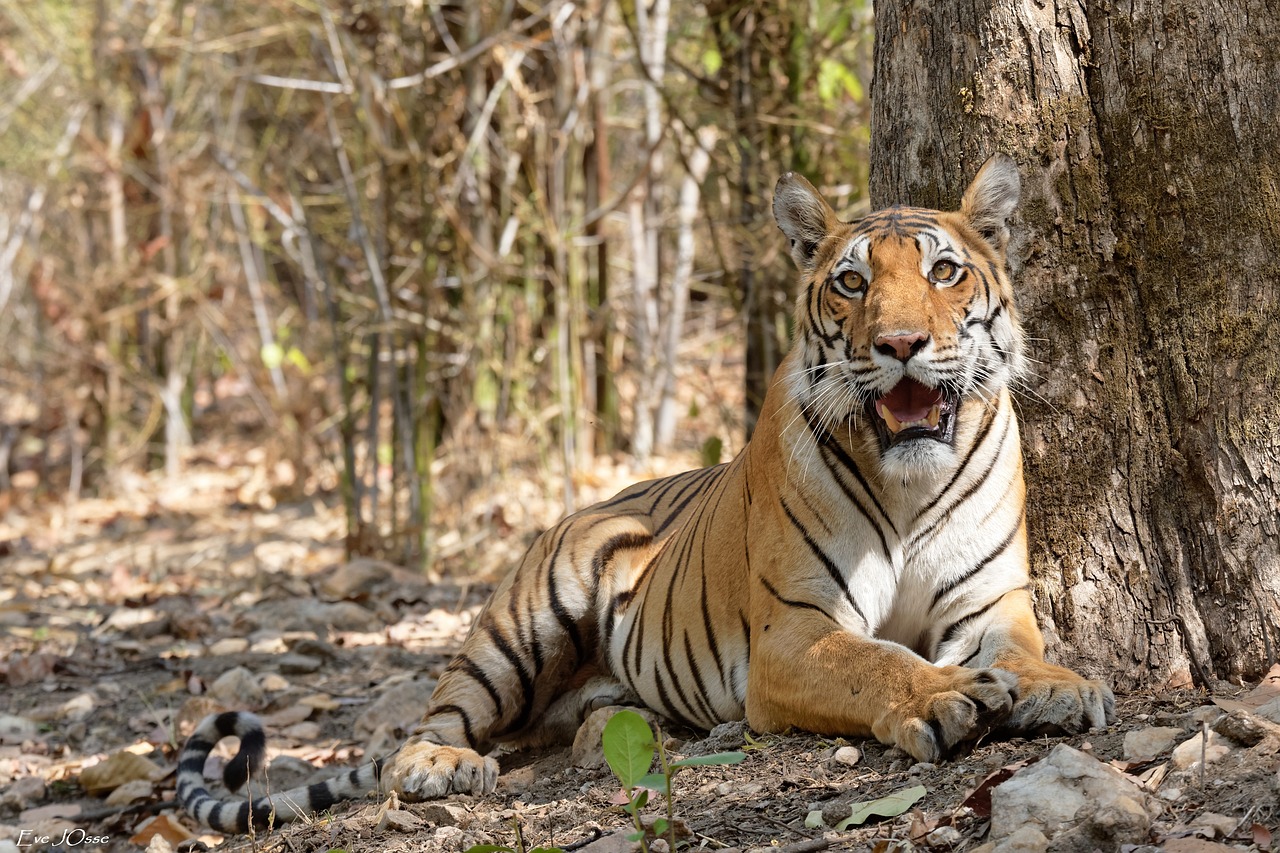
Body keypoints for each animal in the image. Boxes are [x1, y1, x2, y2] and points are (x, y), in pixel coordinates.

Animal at [177, 154, 1111, 829]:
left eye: (945, 271)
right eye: (852, 283)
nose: (902, 343)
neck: (910, 478)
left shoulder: (989, 601)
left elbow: (1021, 650)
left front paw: (1059, 686)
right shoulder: (795, 632)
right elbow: (877, 660)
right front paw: (948, 694)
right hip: (521, 622)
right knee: (439, 713)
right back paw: (440, 763)